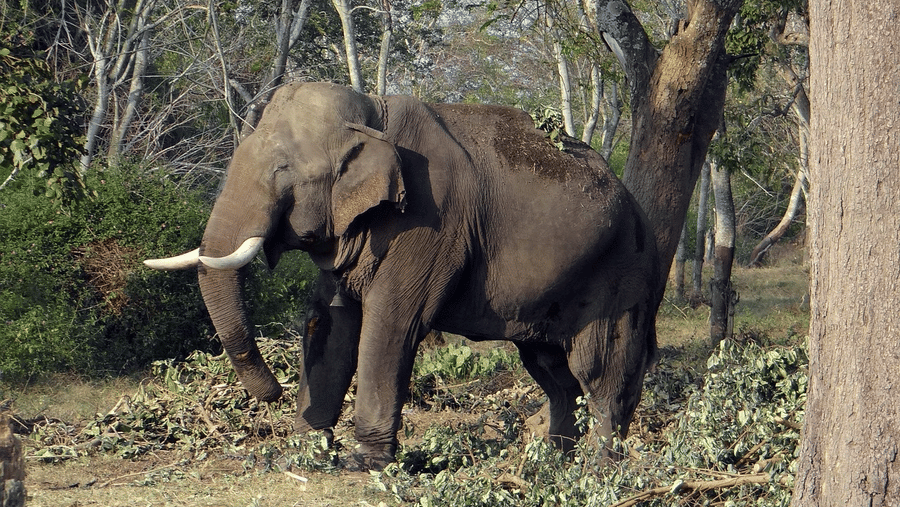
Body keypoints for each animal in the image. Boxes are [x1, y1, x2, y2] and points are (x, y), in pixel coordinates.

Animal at [145, 81, 660, 470]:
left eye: (283, 171)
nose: (273, 393)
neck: (374, 112)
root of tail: (638, 210)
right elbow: (332, 323)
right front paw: (303, 456)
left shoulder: (430, 221)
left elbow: (390, 322)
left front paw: (364, 464)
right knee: (553, 373)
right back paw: (552, 463)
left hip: (622, 275)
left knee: (600, 371)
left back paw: (598, 469)